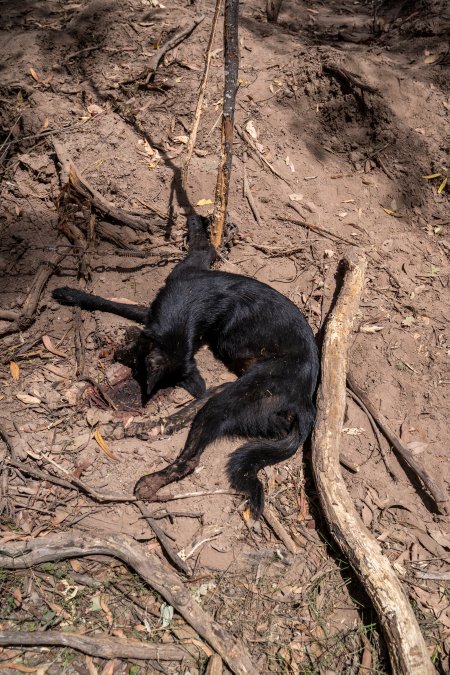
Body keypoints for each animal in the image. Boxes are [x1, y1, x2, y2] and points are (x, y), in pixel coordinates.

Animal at [53, 217, 320, 516]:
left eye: (134, 359)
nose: (116, 352)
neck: (192, 307)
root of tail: (305, 406)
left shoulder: (168, 294)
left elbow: (113, 303)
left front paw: (72, 294)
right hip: (238, 391)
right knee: (206, 397)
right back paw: (154, 426)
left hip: (240, 397)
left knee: (189, 459)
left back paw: (151, 481)